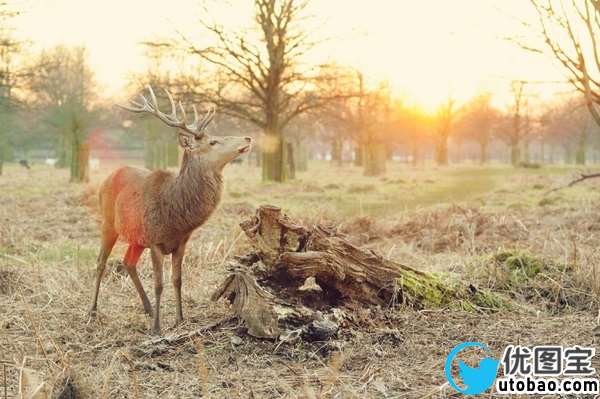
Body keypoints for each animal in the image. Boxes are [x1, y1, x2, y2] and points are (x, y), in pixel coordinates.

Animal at [88, 86, 251, 334]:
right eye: (213, 142)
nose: (248, 137)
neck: (176, 216)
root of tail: (108, 176)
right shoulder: (155, 241)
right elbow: (159, 284)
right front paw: (157, 327)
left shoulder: (181, 242)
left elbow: (177, 280)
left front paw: (180, 319)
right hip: (108, 223)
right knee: (100, 262)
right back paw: (93, 311)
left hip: (137, 237)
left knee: (128, 262)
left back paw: (147, 308)